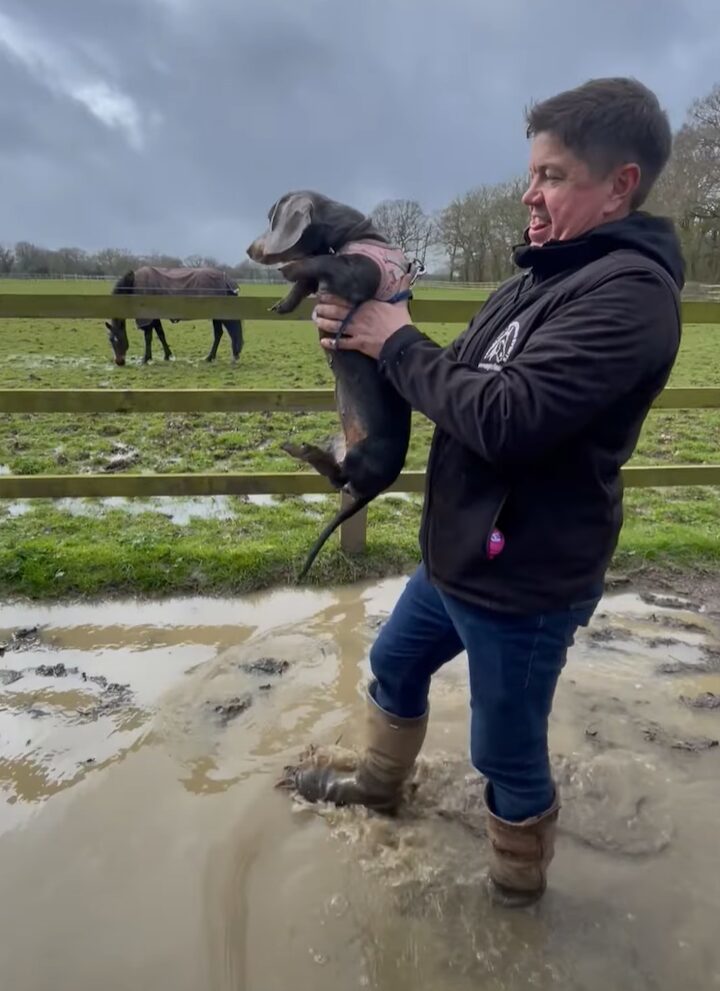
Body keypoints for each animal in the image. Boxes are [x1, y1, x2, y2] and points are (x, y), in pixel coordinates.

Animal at [103, 266, 245, 366]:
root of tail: (226, 280)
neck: (133, 285)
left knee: (225, 333)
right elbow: (161, 334)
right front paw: (167, 355)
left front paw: (145, 359)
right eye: (110, 340)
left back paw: (214, 357)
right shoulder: (154, 318)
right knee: (223, 333)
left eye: (115, 339)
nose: (119, 362)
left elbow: (148, 337)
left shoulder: (147, 318)